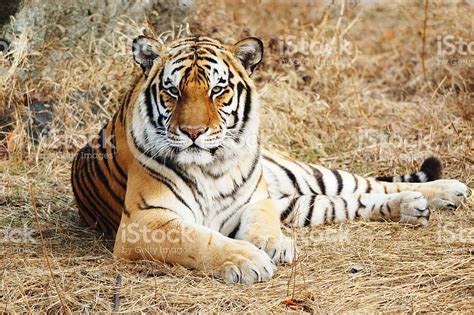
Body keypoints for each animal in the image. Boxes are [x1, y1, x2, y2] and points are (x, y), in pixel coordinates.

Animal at [72, 35, 468, 286]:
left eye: (218, 90)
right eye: (173, 91)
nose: (193, 132)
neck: (210, 167)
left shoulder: (257, 199)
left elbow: (262, 223)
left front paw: (272, 245)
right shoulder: (144, 222)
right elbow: (197, 239)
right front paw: (247, 259)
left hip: (307, 176)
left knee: (368, 184)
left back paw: (448, 191)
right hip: (300, 203)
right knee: (353, 201)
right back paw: (412, 207)